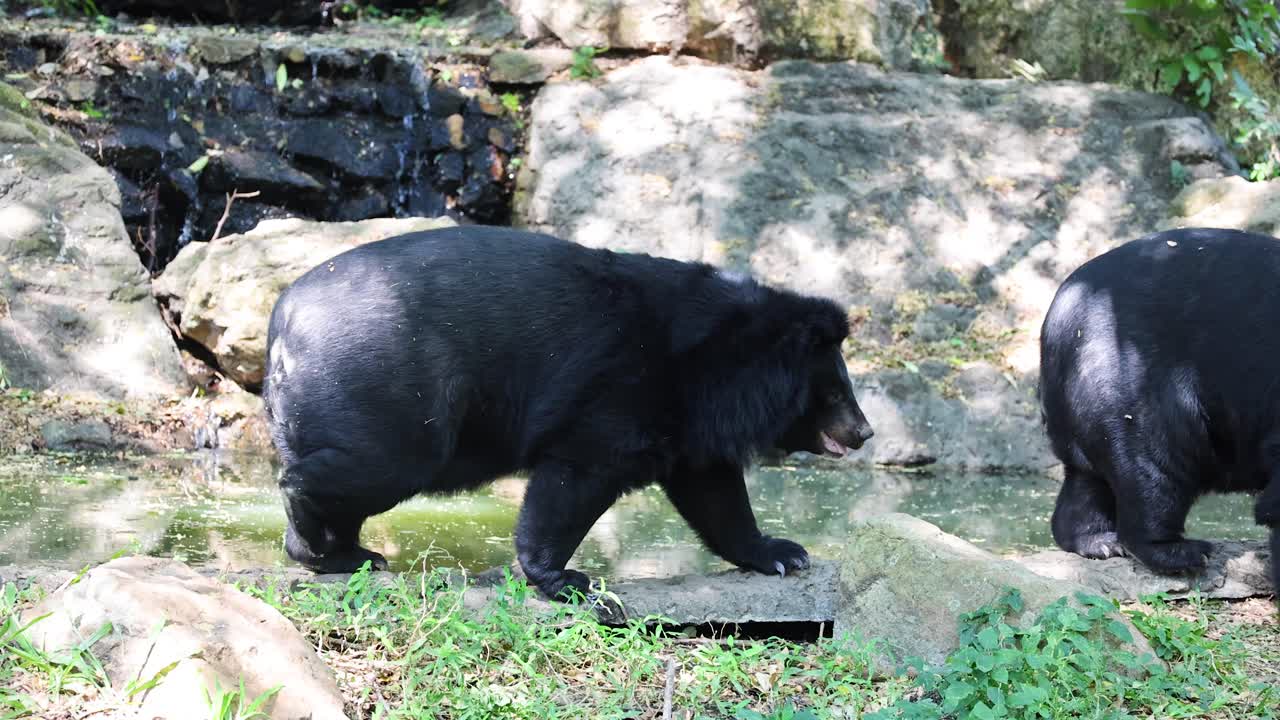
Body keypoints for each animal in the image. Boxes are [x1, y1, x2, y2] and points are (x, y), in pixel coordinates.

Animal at [261, 224, 874, 601]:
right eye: (836, 391)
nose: (865, 432)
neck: (722, 360)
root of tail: (282, 319)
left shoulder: (688, 417)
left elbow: (714, 492)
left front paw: (781, 554)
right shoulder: (623, 390)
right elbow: (578, 476)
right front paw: (566, 579)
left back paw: (346, 555)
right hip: (386, 384)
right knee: (366, 467)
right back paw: (319, 542)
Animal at [1039, 226, 1279, 592]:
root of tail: (1058, 314)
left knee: (1087, 478)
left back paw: (1097, 541)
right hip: (1133, 380)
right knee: (1154, 465)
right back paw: (1179, 551)